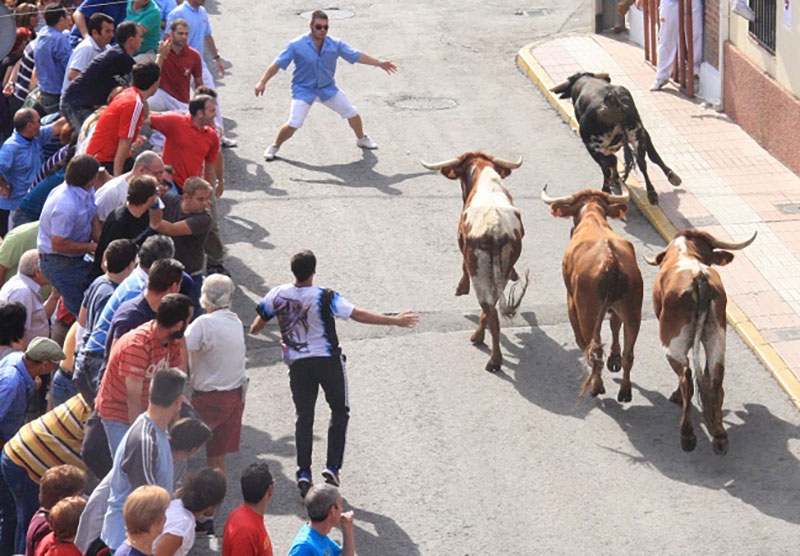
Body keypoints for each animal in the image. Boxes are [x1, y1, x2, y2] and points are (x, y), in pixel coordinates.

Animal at [422, 151, 528, 374]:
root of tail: (495, 226)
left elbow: (462, 265)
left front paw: (461, 287)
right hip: (501, 271)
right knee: (491, 307)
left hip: (479, 271)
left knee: (490, 311)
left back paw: (493, 359)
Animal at [536, 186, 644, 400]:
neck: (593, 217)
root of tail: (610, 259)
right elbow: (614, 325)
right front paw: (614, 358)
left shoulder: (571, 301)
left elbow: (581, 339)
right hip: (633, 311)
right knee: (629, 354)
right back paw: (625, 390)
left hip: (588, 312)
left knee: (594, 350)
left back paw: (596, 386)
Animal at [644, 228, 756, 454]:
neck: (685, 250)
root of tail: (699, 278)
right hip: (717, 335)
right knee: (715, 376)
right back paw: (719, 435)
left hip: (672, 339)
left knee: (686, 376)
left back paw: (687, 435)